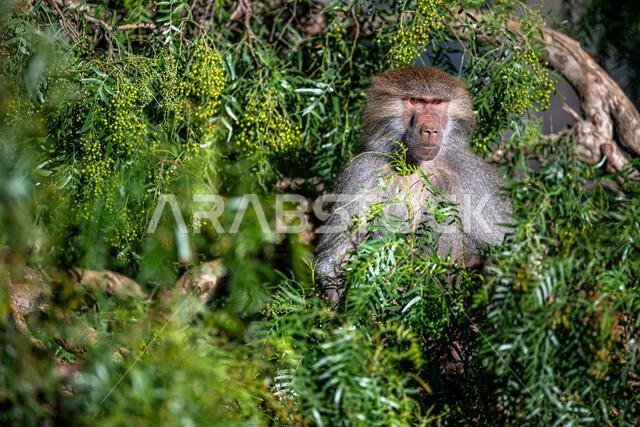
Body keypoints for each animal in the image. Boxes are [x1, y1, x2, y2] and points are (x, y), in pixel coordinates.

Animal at [314, 65, 512, 303]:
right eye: (416, 101)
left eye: (437, 103)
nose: (430, 130)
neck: (417, 166)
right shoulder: (363, 172)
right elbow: (337, 255)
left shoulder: (474, 177)